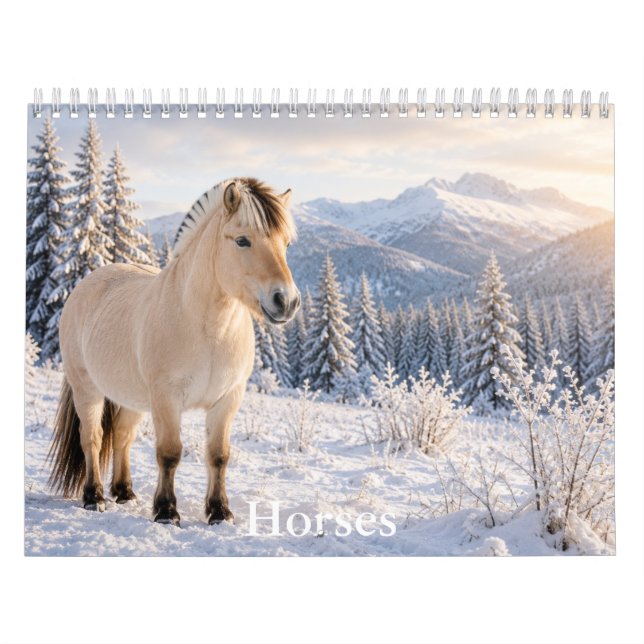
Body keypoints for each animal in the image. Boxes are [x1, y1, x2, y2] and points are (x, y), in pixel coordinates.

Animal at [48, 177, 300, 526]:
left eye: (286, 243)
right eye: (242, 240)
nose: (286, 301)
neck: (208, 329)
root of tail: (87, 283)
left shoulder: (227, 400)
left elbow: (219, 455)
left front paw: (220, 512)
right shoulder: (167, 398)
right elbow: (169, 453)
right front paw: (167, 512)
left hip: (132, 399)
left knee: (122, 437)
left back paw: (125, 492)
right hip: (87, 388)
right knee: (93, 439)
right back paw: (94, 497)